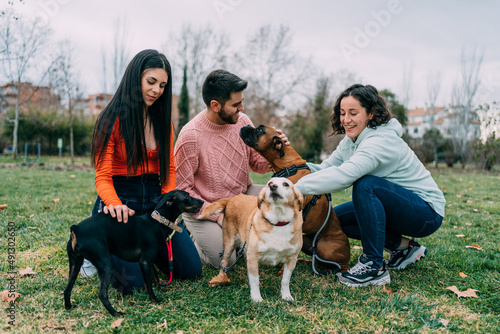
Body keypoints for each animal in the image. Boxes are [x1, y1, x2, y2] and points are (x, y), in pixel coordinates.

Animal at [64, 190, 203, 316]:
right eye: (187, 197)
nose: (202, 201)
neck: (157, 222)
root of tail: (76, 229)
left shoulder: (147, 262)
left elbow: (154, 279)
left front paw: (159, 290)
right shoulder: (145, 261)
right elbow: (149, 286)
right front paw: (155, 300)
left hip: (75, 264)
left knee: (67, 289)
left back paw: (68, 306)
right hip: (105, 265)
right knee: (102, 295)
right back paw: (116, 313)